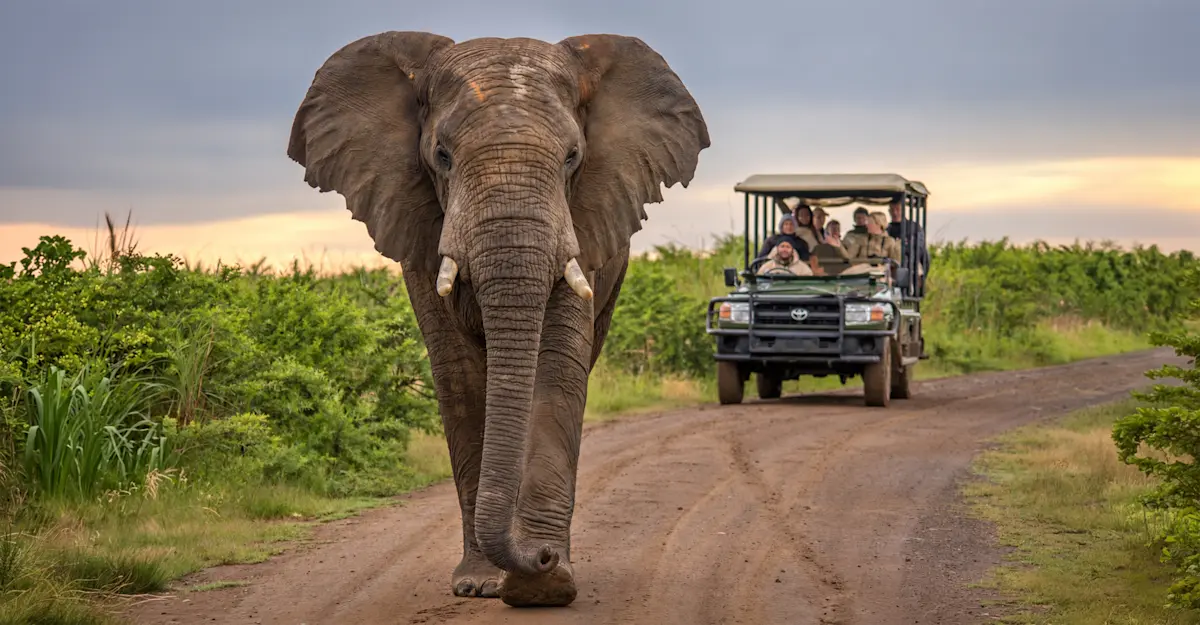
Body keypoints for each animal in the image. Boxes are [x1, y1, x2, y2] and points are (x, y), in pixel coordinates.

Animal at [286, 31, 709, 607]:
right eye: (441, 156)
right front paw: (485, 584)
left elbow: (558, 368)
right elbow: (460, 376)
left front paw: (545, 586)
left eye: (573, 157)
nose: (541, 556)